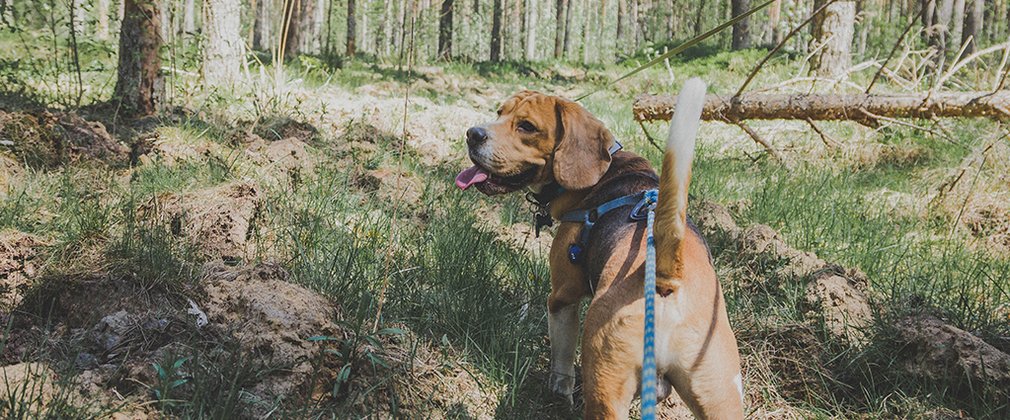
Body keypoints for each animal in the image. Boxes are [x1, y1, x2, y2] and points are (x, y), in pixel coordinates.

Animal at [456, 79, 743, 420]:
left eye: (527, 126)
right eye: (500, 112)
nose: (473, 134)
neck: (606, 172)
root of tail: (666, 278)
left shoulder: (562, 296)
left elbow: (562, 358)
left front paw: (559, 393)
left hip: (606, 382)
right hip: (721, 396)